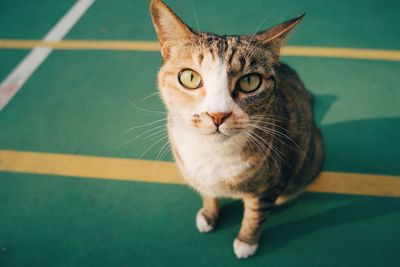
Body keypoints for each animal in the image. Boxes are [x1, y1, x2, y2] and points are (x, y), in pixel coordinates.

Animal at [148, 0, 324, 260]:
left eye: (250, 82)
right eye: (189, 77)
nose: (217, 115)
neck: (212, 152)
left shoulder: (267, 186)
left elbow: (255, 216)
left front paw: (246, 242)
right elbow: (208, 194)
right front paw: (209, 214)